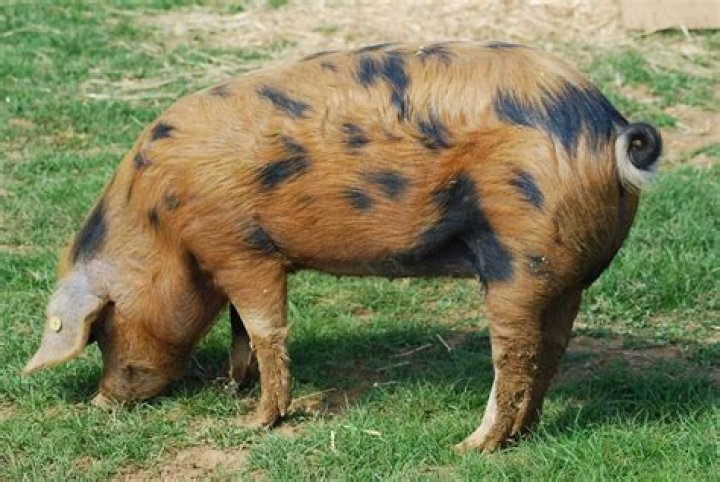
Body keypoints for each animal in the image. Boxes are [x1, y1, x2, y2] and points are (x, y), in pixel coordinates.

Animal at [22, 41, 662, 452]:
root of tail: (610, 128)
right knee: (551, 349)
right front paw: (234, 388)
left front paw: (253, 424)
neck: (161, 221)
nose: (100, 403)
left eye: (103, 326)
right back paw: (519, 438)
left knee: (515, 354)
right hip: (567, 275)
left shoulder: (238, 246)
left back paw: (466, 447)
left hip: (520, 256)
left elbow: (265, 328)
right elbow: (239, 328)